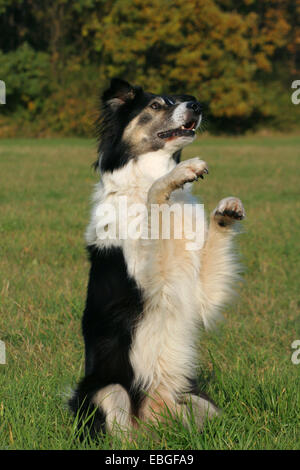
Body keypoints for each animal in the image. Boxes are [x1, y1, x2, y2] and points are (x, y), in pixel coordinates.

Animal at [68, 78, 246, 440]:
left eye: (181, 99)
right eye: (155, 105)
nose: (196, 105)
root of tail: (151, 421)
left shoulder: (200, 293)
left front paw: (225, 212)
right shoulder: (147, 279)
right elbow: (154, 197)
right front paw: (180, 173)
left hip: (196, 400)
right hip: (107, 390)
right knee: (122, 436)